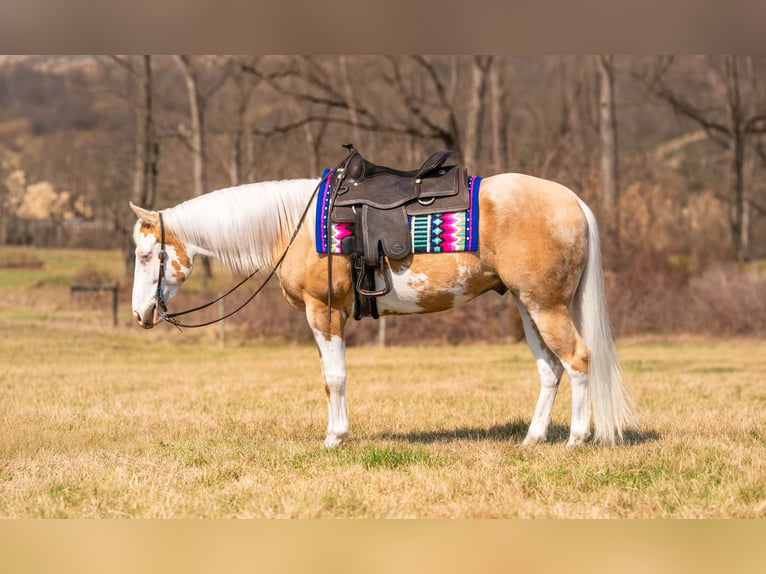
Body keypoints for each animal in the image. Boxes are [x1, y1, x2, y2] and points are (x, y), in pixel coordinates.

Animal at [129, 172, 637, 448]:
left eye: (144, 254)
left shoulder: (323, 313)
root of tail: (572, 201)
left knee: (578, 360)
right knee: (550, 369)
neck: (295, 225)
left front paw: (335, 437)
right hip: (528, 307)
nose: (140, 315)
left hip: (546, 306)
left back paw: (575, 439)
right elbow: (330, 378)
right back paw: (532, 439)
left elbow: (334, 377)